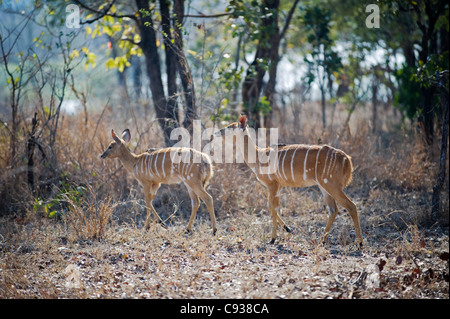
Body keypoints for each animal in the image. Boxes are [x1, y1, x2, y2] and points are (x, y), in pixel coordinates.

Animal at [217, 115, 362, 248]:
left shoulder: (272, 184)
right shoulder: (278, 186)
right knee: (333, 209)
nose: (217, 132)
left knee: (351, 206)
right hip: (324, 186)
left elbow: (273, 208)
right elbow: (271, 206)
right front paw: (288, 229)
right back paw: (321, 241)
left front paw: (273, 239)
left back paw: (360, 243)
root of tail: (346, 159)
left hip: (331, 185)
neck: (258, 156)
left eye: (229, 127)